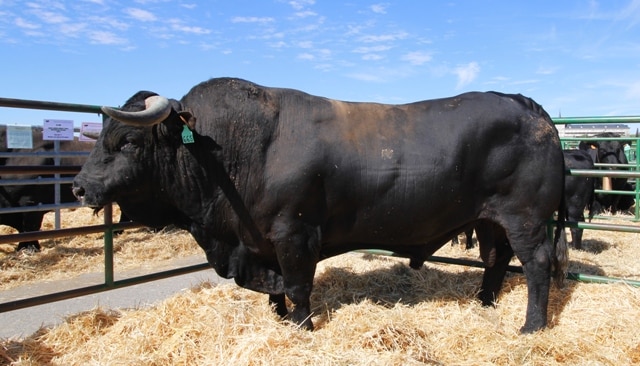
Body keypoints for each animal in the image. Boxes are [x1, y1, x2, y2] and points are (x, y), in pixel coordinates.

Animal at [72, 78, 568, 334]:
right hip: (489, 220)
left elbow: (296, 286)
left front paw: (300, 327)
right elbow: (274, 288)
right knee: (496, 258)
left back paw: (531, 326)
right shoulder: (259, 243)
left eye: (128, 141)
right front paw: (277, 318)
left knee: (537, 265)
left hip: (525, 218)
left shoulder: (294, 234)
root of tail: (525, 104)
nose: (78, 187)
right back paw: (483, 303)